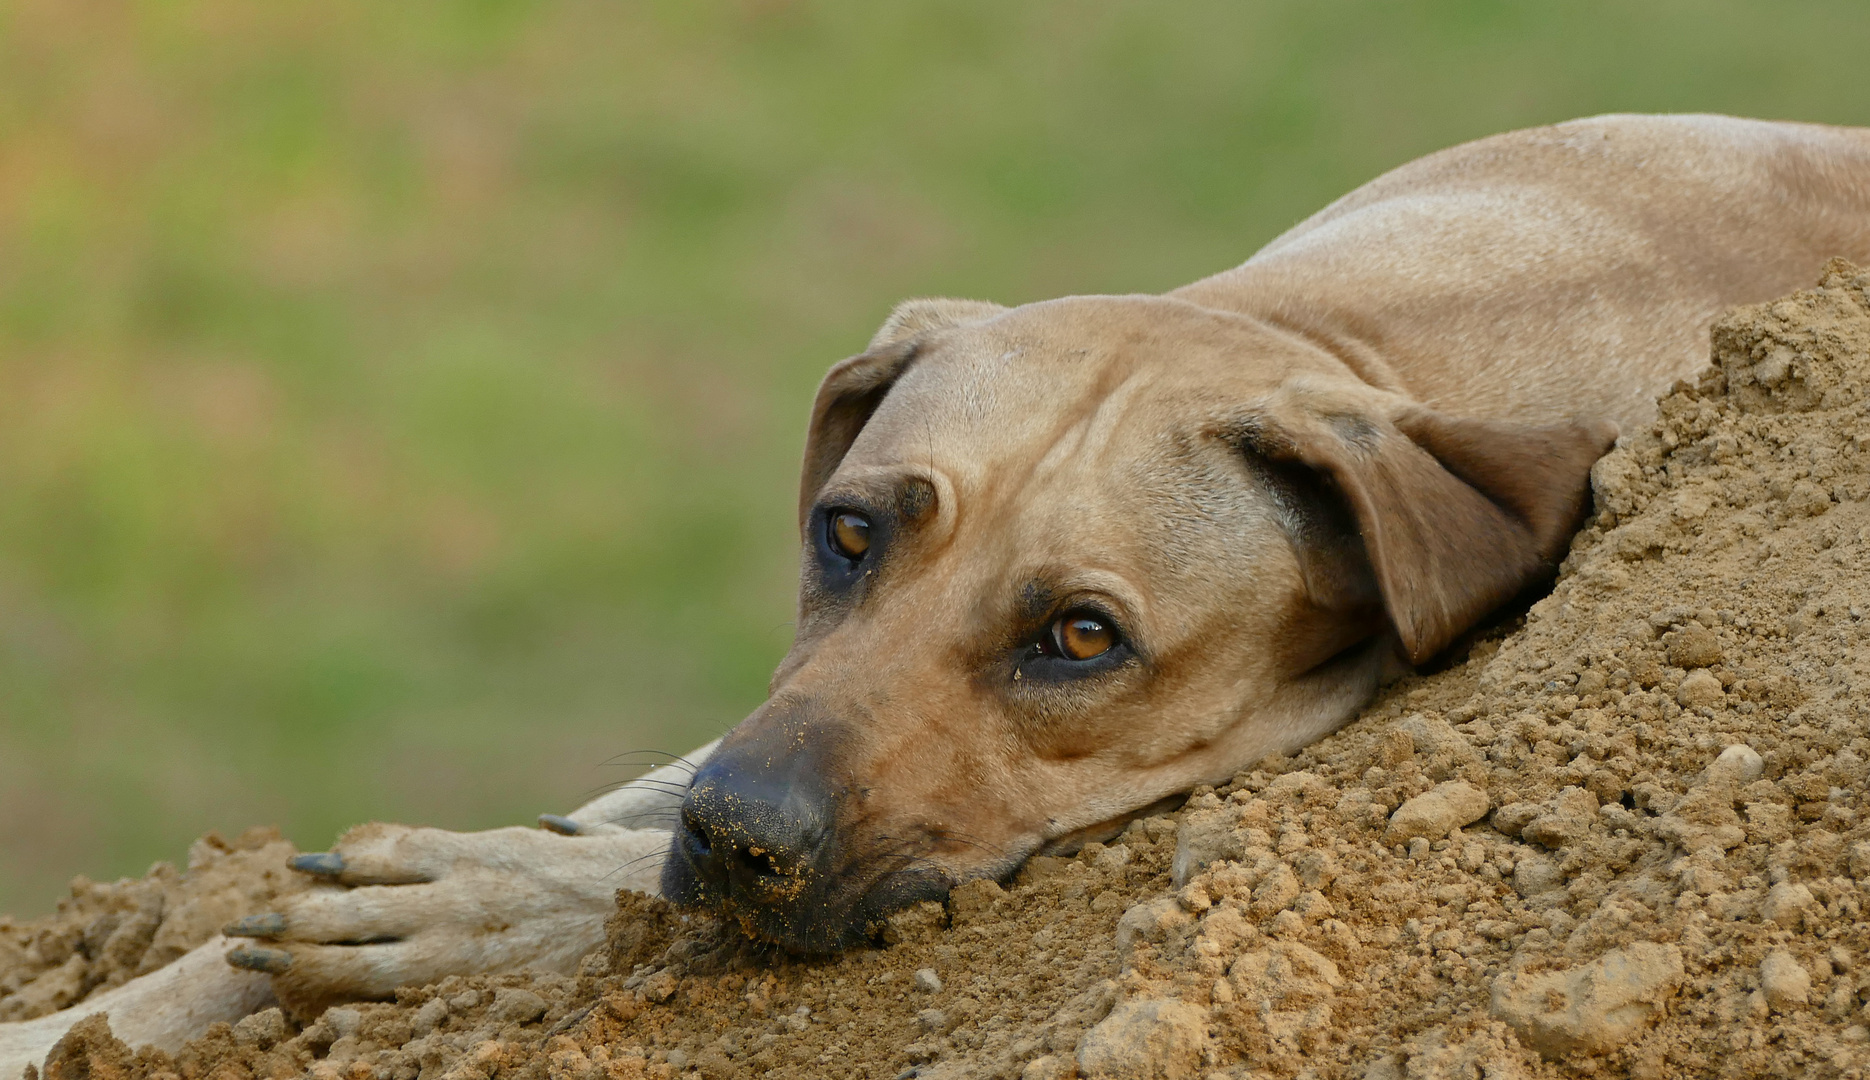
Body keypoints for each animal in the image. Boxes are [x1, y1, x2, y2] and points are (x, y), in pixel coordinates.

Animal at [3, 113, 1870, 1068]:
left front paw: (469, 904)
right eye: (847, 532)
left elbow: (594, 874)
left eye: (1079, 639)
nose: (744, 835)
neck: (1348, 334)